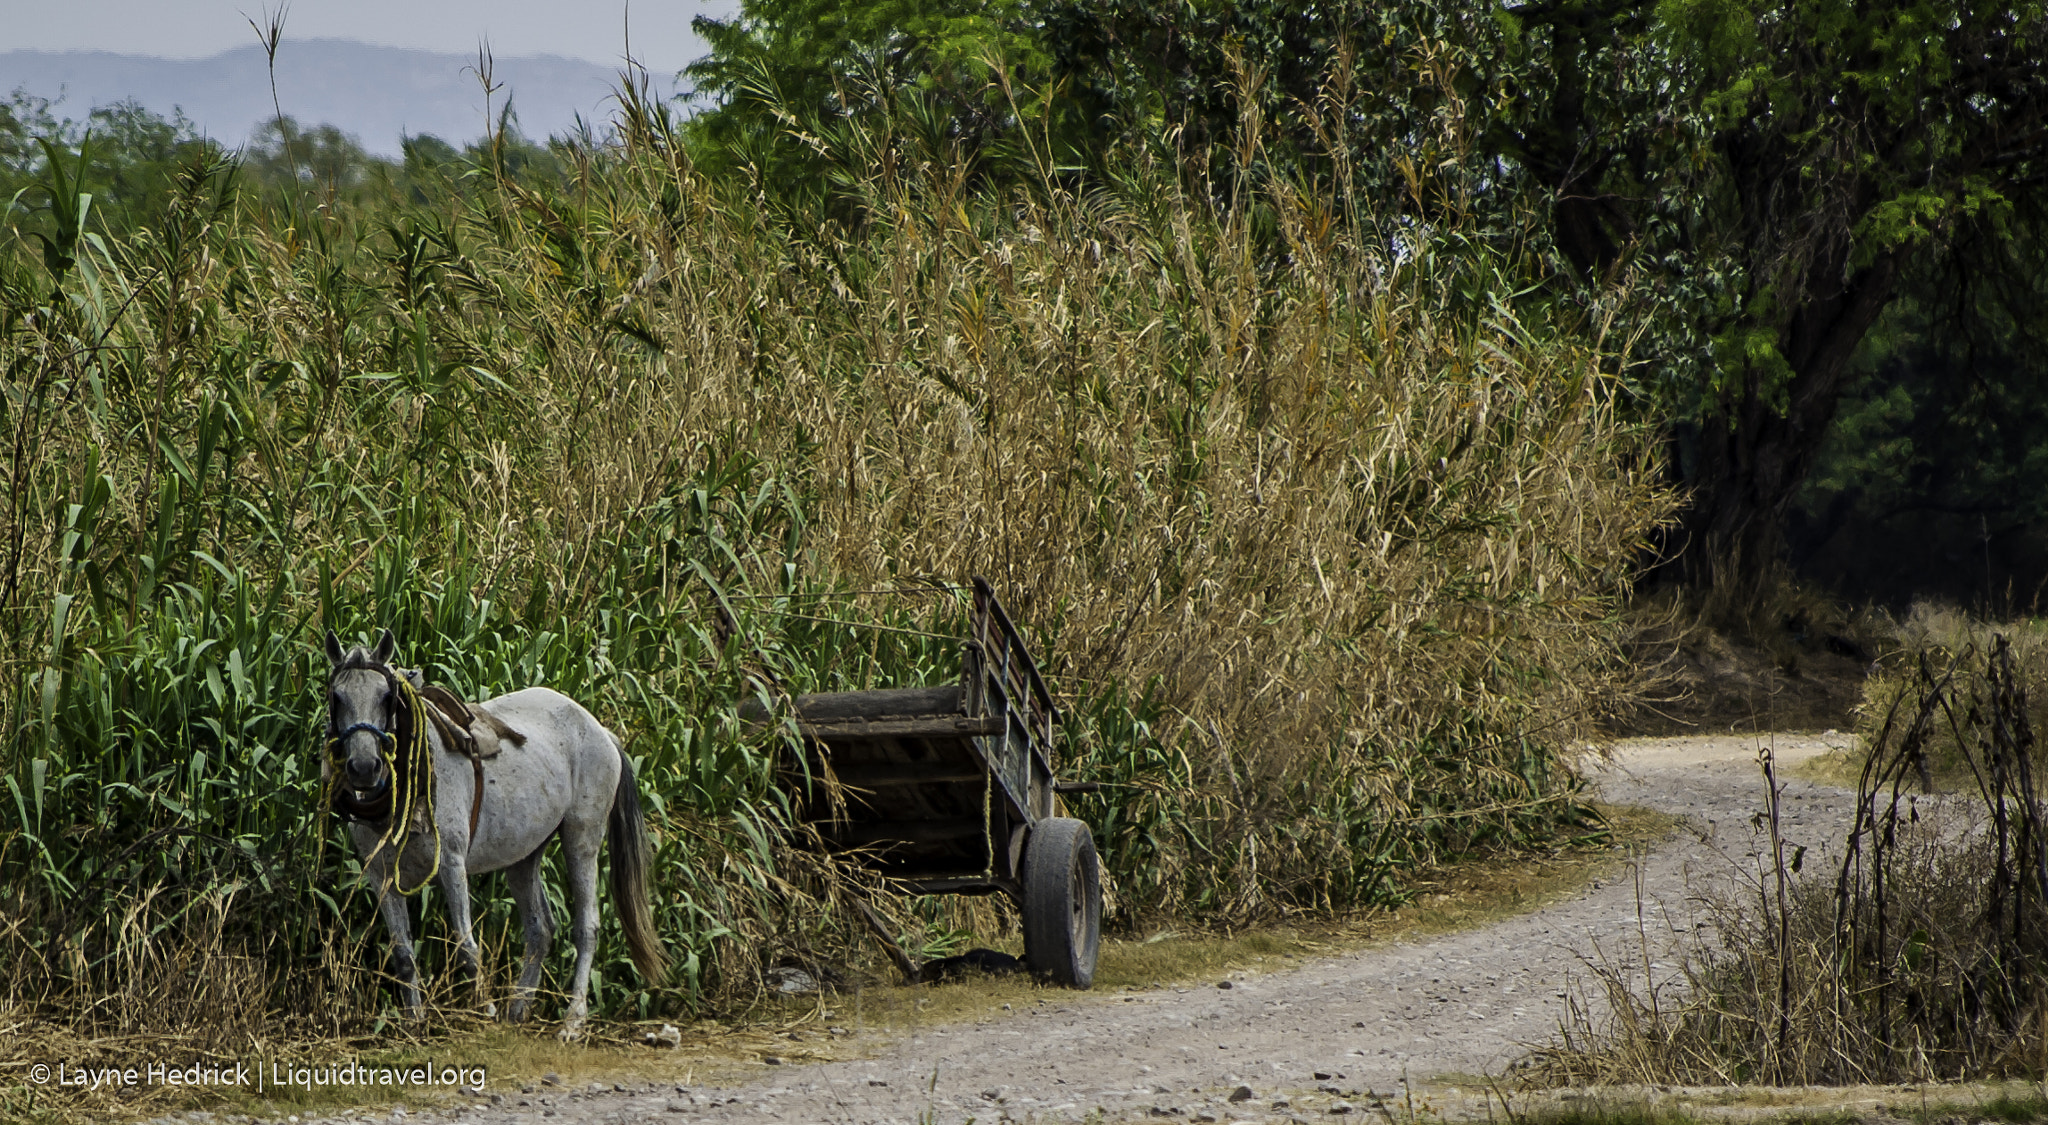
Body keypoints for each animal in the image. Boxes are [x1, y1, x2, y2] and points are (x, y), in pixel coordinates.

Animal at [321, 622, 663, 1036]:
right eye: (336, 696)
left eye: (387, 697)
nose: (363, 768)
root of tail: (600, 731)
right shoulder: (380, 873)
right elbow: (402, 953)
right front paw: (415, 1023)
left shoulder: (451, 864)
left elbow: (466, 945)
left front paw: (484, 1011)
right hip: (524, 856)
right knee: (540, 928)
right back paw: (519, 1009)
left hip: (581, 839)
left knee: (587, 927)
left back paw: (572, 1021)